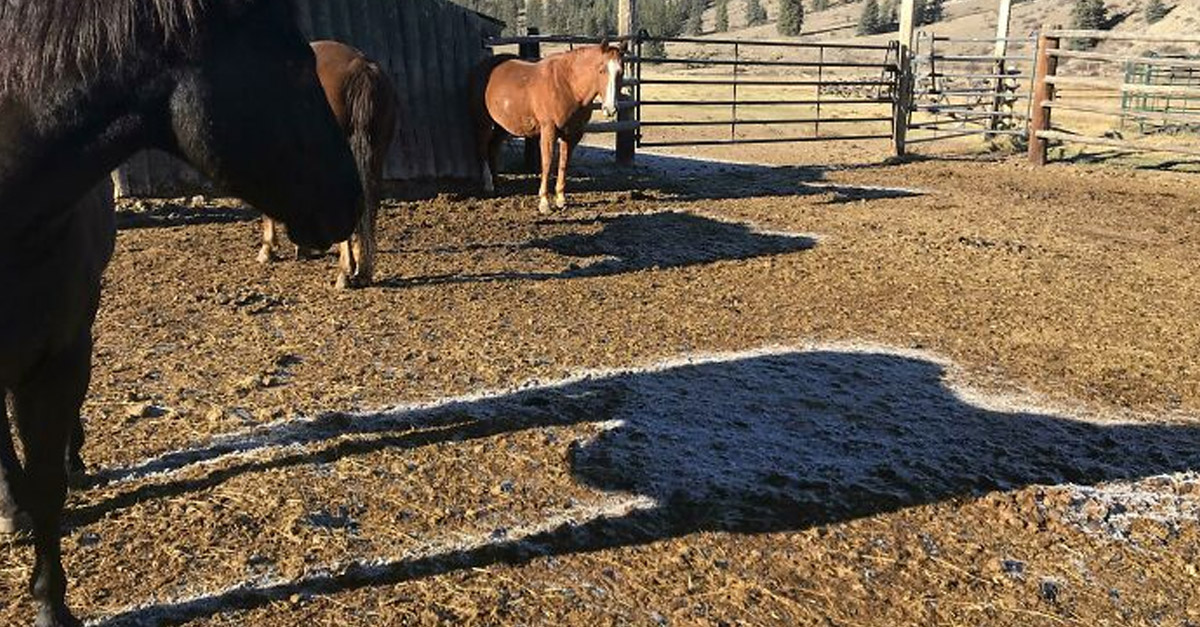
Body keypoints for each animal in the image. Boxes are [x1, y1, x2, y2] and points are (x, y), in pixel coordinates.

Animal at [473, 41, 626, 214]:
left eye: (621, 72)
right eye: (601, 70)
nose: (610, 109)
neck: (569, 86)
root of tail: (483, 67)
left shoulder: (572, 134)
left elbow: (564, 164)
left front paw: (561, 199)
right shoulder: (549, 131)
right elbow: (547, 163)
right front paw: (544, 203)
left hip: (503, 126)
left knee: (493, 149)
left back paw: (498, 186)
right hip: (484, 123)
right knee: (482, 149)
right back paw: (488, 185)